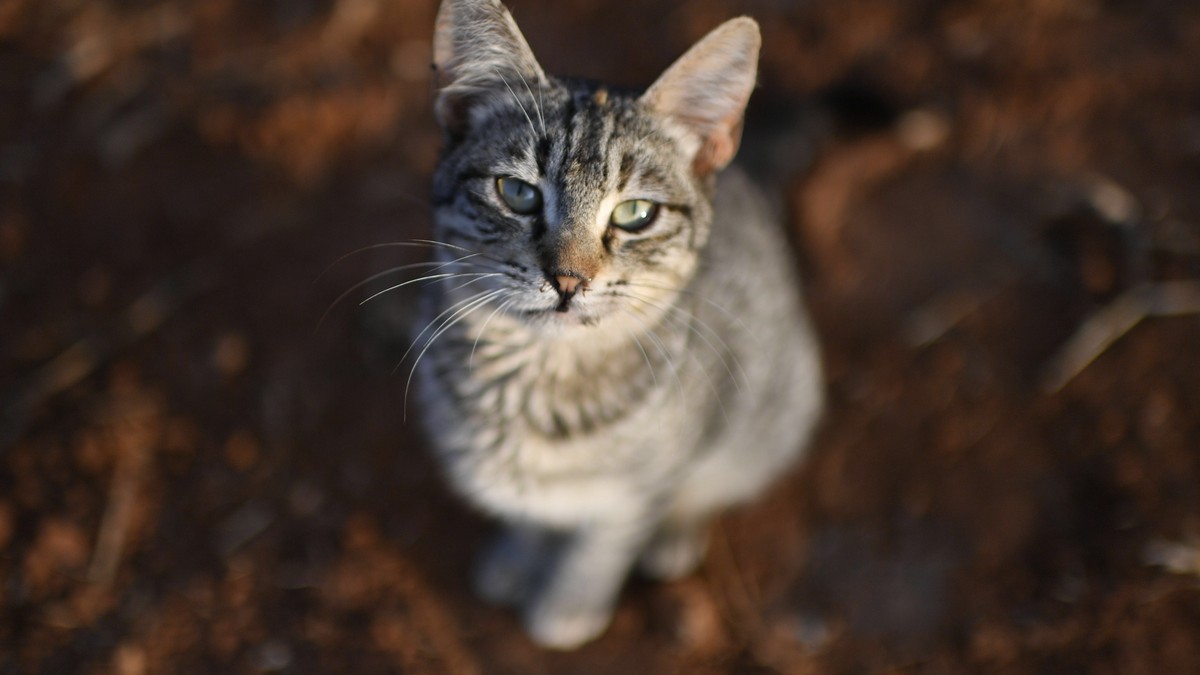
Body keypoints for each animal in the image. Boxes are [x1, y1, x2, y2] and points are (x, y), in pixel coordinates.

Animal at [415, 0, 825, 648]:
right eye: (517, 193)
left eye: (635, 214)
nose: (568, 279)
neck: (541, 385)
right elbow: (526, 513)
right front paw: (519, 554)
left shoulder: (647, 476)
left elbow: (606, 540)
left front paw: (569, 603)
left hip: (778, 402)